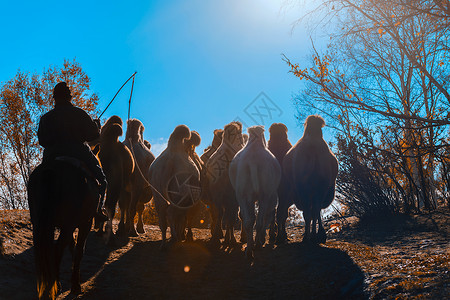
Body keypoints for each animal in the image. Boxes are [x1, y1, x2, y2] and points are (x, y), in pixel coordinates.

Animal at [27, 158, 98, 298]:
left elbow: (72, 246)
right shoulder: (85, 224)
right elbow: (79, 251)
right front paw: (75, 285)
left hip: (40, 224)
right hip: (68, 225)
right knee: (57, 249)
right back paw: (56, 285)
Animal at [230, 125, 280, 258]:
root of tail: (253, 160)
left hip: (242, 194)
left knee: (250, 220)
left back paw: (249, 250)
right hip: (265, 195)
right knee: (261, 220)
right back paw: (257, 245)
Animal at [284, 115, 338, 244]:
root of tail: (313, 149)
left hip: (303, 188)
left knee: (309, 211)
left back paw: (308, 237)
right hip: (321, 186)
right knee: (315, 209)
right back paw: (317, 235)